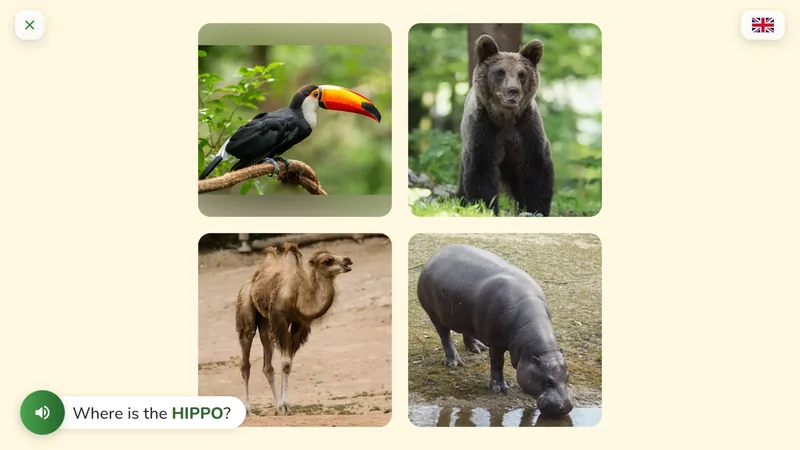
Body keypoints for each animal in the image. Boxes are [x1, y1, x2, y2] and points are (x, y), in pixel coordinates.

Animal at [416, 244, 574, 418]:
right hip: (434, 313)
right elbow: (497, 363)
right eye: (545, 381)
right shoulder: (496, 343)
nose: (566, 407)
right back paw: (455, 363)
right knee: (445, 336)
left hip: (463, 312)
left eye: (567, 377)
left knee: (466, 331)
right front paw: (500, 388)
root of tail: (434, 255)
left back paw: (477, 348)